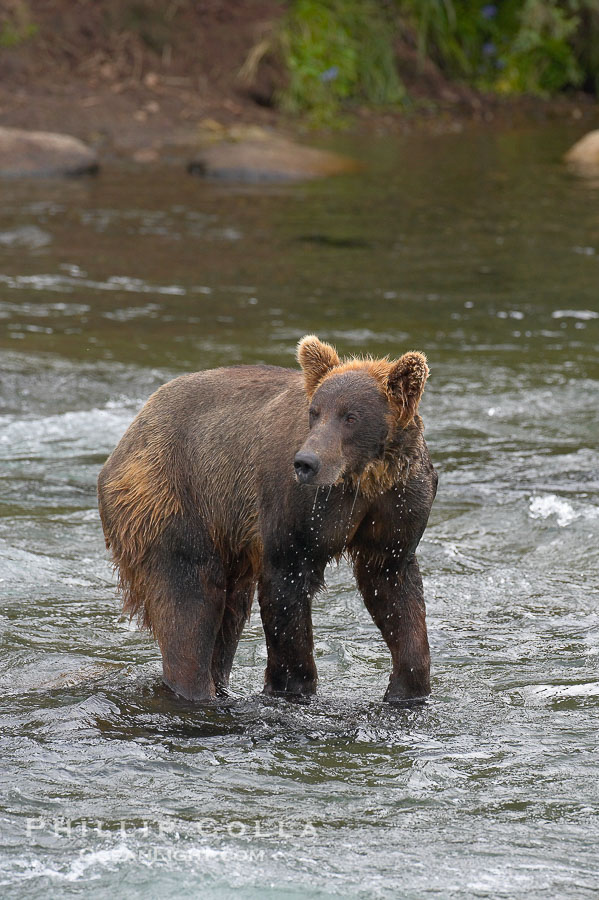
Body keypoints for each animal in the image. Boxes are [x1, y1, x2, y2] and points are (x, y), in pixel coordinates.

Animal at [97, 335, 437, 704]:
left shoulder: (397, 502)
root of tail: (132, 429)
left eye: (351, 416)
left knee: (229, 614)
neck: (362, 478)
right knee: (190, 603)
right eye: (314, 412)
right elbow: (287, 584)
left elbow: (392, 587)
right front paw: (292, 685)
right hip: (175, 498)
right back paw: (196, 689)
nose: (306, 462)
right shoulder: (297, 506)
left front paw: (407, 687)